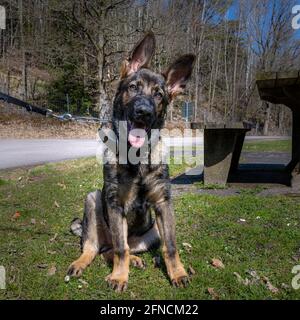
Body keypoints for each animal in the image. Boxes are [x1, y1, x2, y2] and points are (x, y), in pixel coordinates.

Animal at [67, 33, 196, 292]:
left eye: (159, 95)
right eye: (133, 87)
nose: (143, 112)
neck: (137, 157)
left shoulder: (163, 203)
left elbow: (171, 246)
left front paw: (177, 273)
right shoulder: (115, 203)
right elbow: (120, 248)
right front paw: (119, 277)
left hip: (152, 232)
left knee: (114, 248)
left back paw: (137, 259)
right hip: (93, 200)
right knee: (97, 247)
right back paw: (80, 263)